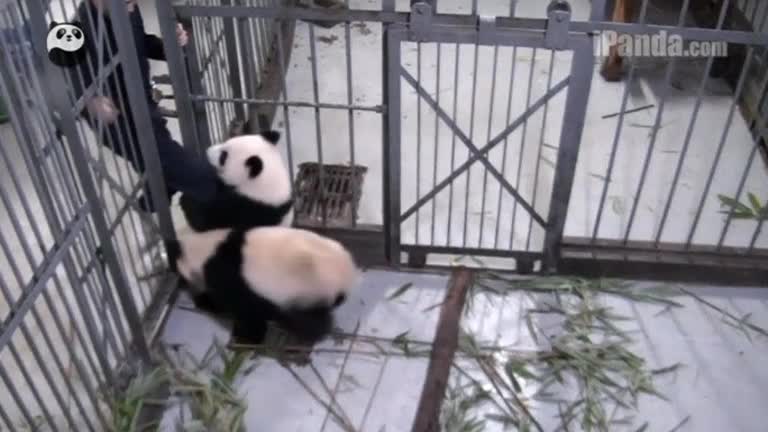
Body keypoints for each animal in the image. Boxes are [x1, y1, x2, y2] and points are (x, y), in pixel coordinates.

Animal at [165, 225, 360, 345]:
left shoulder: (233, 281)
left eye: (174, 265)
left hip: (309, 294)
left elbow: (245, 312)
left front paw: (246, 337)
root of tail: (347, 274)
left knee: (310, 321)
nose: (180, 282)